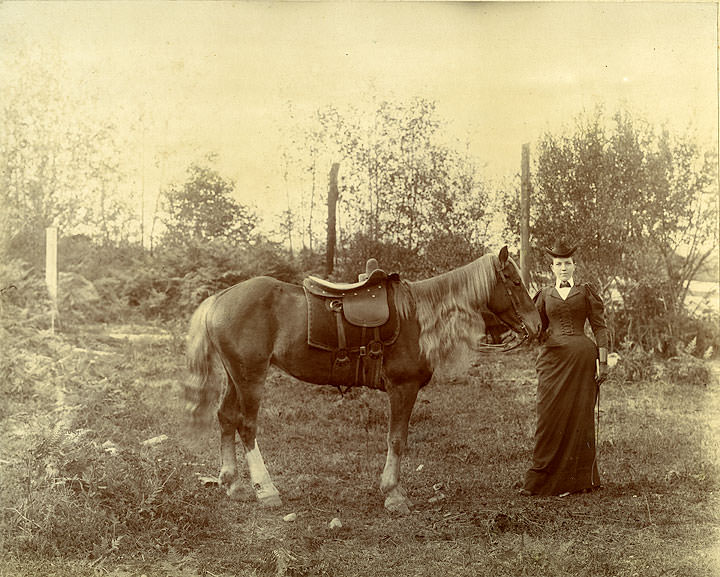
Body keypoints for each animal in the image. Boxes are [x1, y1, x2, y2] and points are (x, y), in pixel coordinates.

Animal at [184, 246, 541, 514]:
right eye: (515, 282)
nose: (537, 325)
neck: (419, 317)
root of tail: (220, 298)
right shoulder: (402, 388)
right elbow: (397, 440)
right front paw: (394, 494)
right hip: (251, 376)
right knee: (246, 426)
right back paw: (266, 490)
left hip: (235, 376)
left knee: (226, 418)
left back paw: (232, 483)